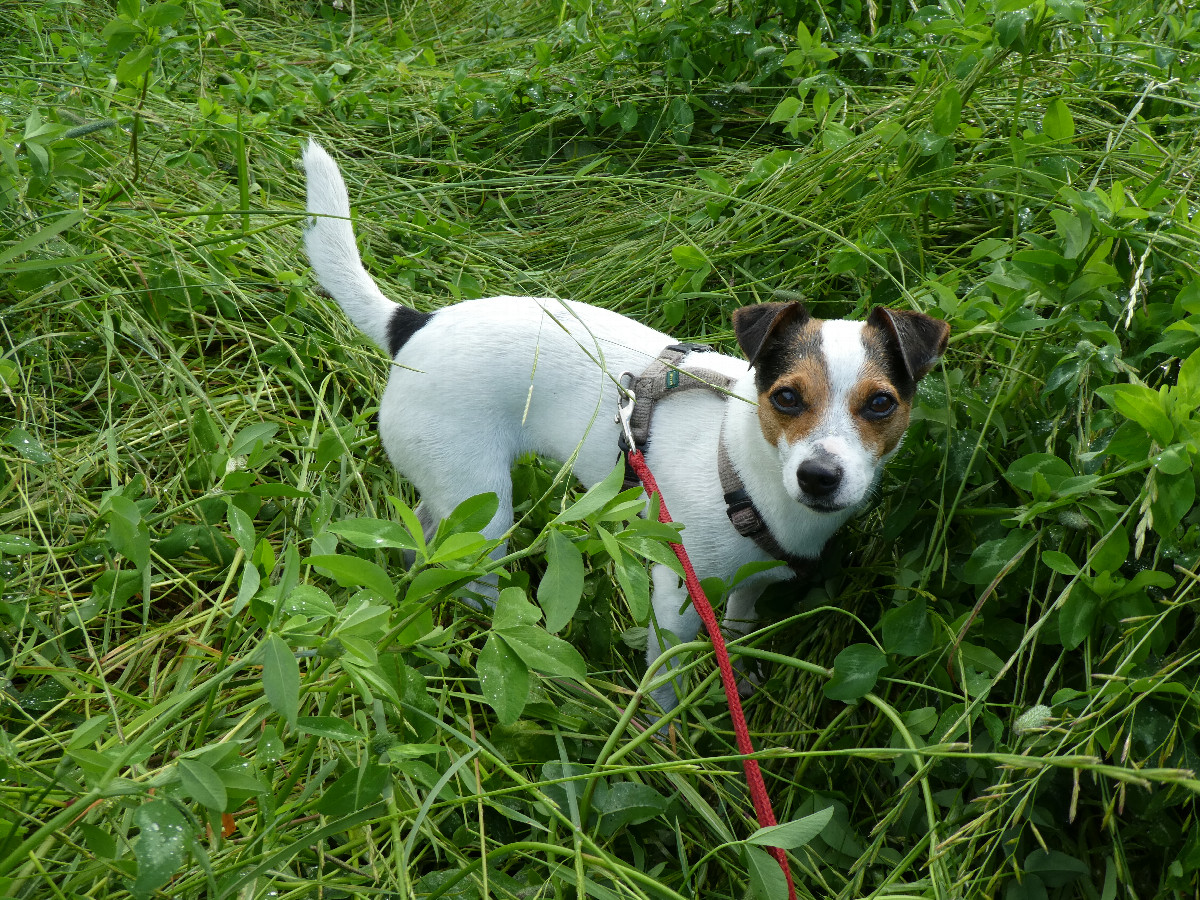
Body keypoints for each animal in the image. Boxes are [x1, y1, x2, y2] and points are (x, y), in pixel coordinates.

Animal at [300, 142, 945, 710]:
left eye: (880, 404)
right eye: (786, 397)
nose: (819, 476)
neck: (741, 469)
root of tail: (413, 326)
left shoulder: (750, 583)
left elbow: (739, 626)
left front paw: (739, 676)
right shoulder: (675, 599)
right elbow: (665, 684)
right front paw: (664, 739)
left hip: (457, 496)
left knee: (428, 538)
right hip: (487, 512)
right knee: (475, 577)